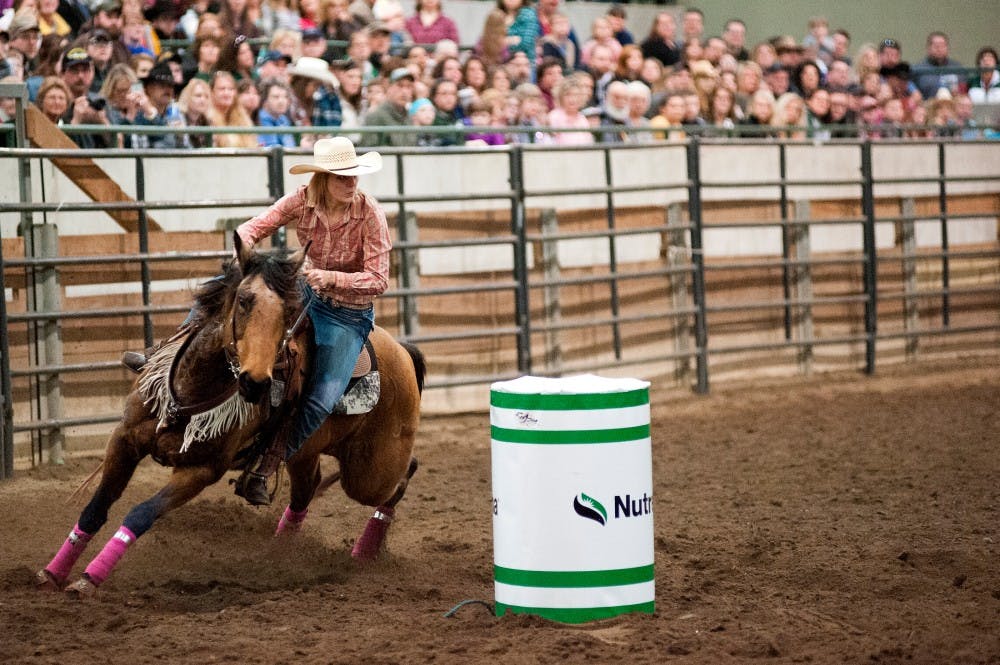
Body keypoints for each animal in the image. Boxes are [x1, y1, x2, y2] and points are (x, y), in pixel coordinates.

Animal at [35, 233, 424, 596]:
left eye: (288, 314)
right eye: (244, 300)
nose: (255, 381)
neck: (191, 392)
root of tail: (402, 350)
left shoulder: (200, 471)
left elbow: (141, 512)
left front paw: (90, 578)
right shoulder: (124, 441)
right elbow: (96, 508)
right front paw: (53, 572)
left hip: (370, 472)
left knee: (402, 476)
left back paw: (364, 551)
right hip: (305, 454)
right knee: (306, 492)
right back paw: (277, 554)